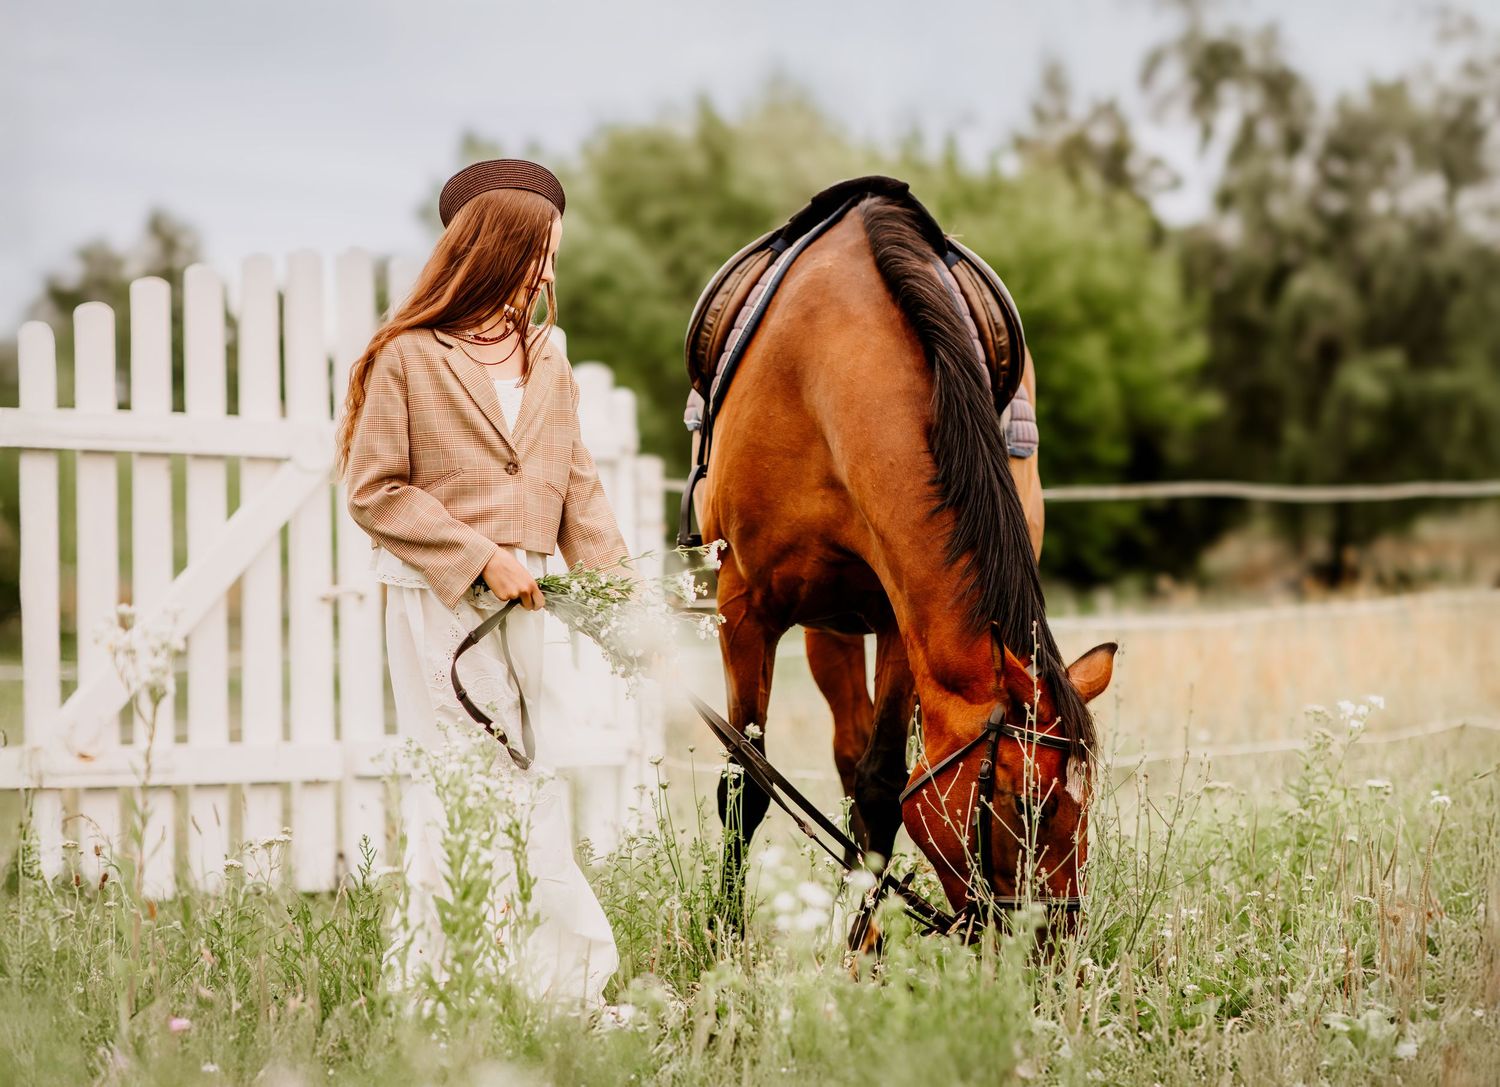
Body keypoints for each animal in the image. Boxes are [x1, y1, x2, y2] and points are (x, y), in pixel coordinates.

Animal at [691, 187, 1117, 933]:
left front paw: (859, 939)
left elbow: (882, 787)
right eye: (1023, 805)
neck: (831, 371)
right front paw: (724, 936)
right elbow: (745, 780)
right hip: (822, 625)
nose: (1053, 938)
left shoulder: (899, 618)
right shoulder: (744, 610)